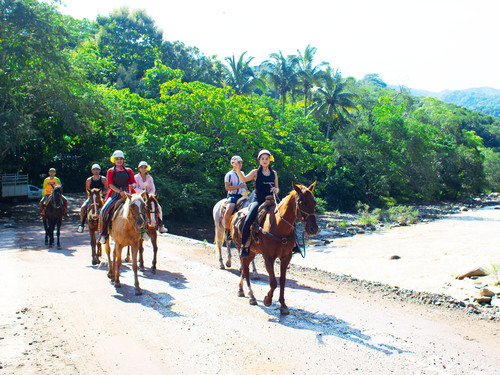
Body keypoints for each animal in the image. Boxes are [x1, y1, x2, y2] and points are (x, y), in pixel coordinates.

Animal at [231, 182, 318, 314]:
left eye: (314, 202)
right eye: (302, 203)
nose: (314, 229)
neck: (279, 226)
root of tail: (235, 215)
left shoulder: (286, 257)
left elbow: (282, 281)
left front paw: (283, 305)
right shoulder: (268, 257)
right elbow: (273, 282)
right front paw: (267, 299)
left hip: (251, 252)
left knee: (245, 268)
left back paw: (241, 290)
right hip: (241, 249)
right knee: (245, 270)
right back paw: (251, 296)